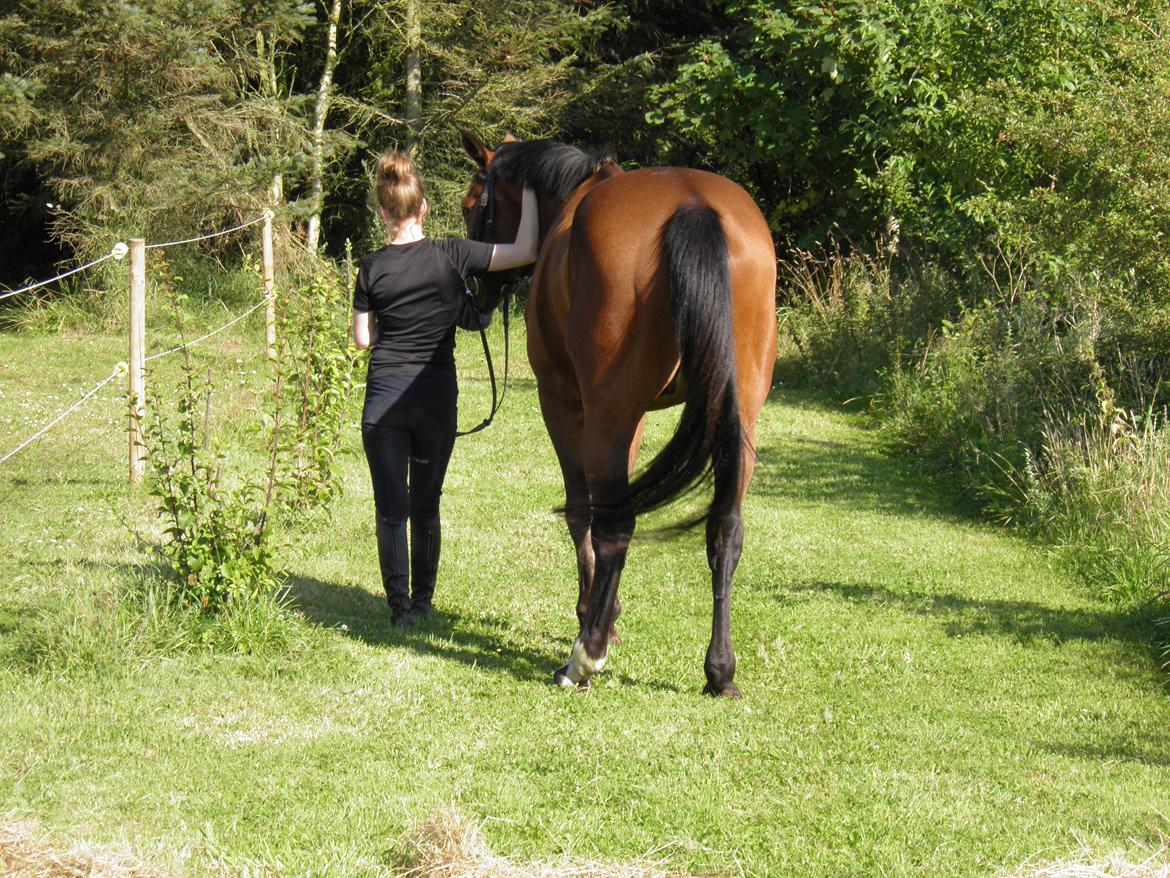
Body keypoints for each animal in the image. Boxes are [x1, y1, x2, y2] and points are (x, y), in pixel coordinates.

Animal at [456, 130, 776, 697]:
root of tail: (692, 205)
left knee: (615, 526)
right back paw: (720, 672)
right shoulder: (637, 417)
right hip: (737, 417)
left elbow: (581, 511)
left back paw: (584, 659)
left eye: (473, 205)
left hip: (605, 412)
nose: (475, 301)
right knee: (725, 527)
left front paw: (594, 618)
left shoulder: (565, 403)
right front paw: (609, 615)